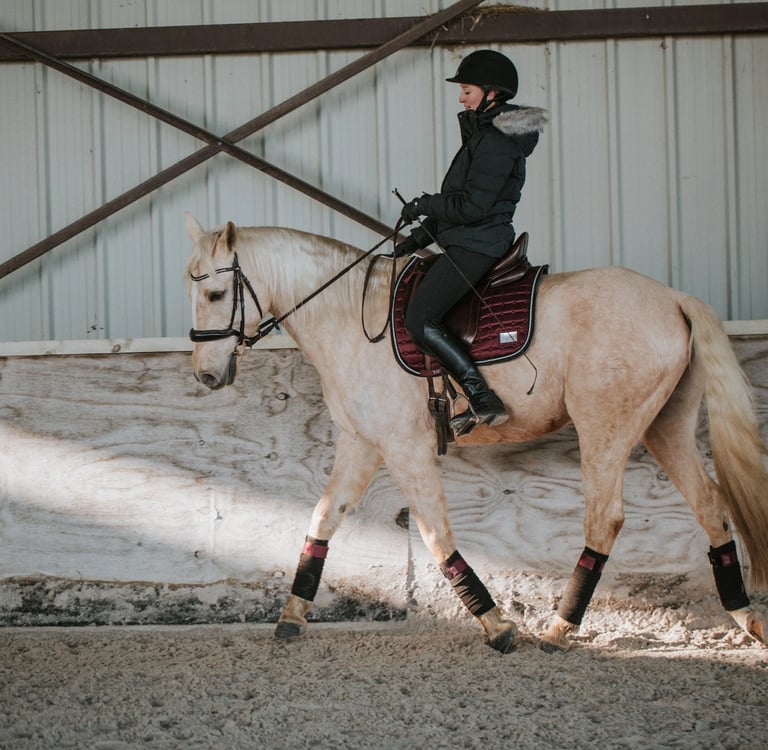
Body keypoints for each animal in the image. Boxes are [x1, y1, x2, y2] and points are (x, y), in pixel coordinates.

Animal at [184, 213, 768, 652]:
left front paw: (496, 626)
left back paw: (558, 630)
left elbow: (435, 533)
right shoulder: (362, 444)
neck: (349, 318)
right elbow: (323, 519)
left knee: (605, 520)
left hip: (605, 428)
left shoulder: (405, 447)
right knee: (709, 505)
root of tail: (672, 297)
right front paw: (291, 616)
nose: (206, 376)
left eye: (215, 294)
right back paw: (745, 619)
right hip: (666, 427)